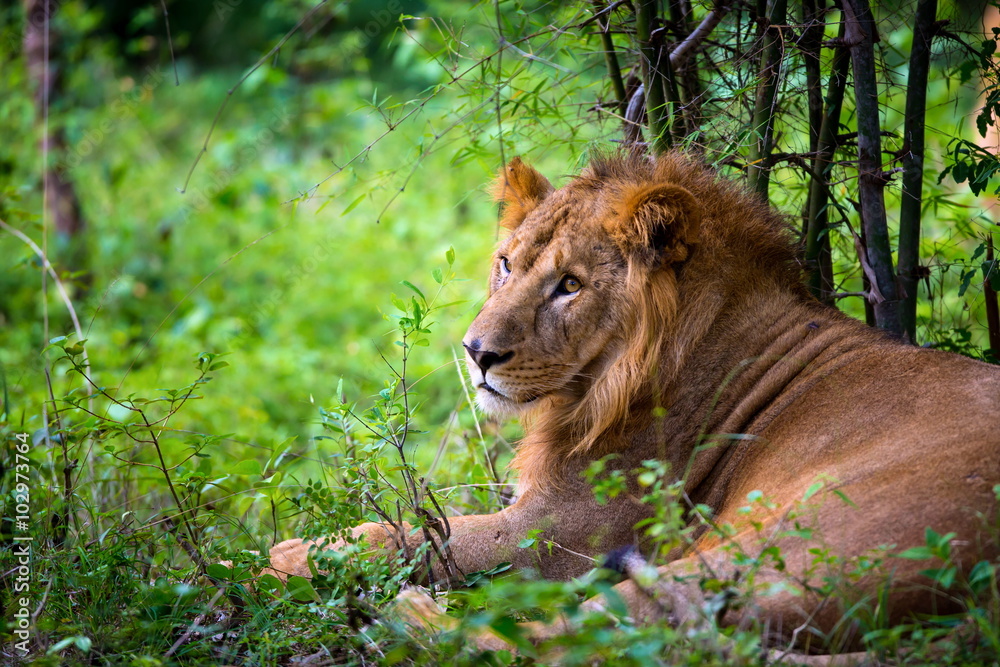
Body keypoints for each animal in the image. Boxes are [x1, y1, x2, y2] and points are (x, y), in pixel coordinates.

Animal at [265, 151, 1000, 655]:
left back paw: (407, 618)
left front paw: (296, 553)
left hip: (786, 548)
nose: (477, 352)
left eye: (569, 284)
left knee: (564, 641)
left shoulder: (565, 530)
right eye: (506, 264)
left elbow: (424, 535)